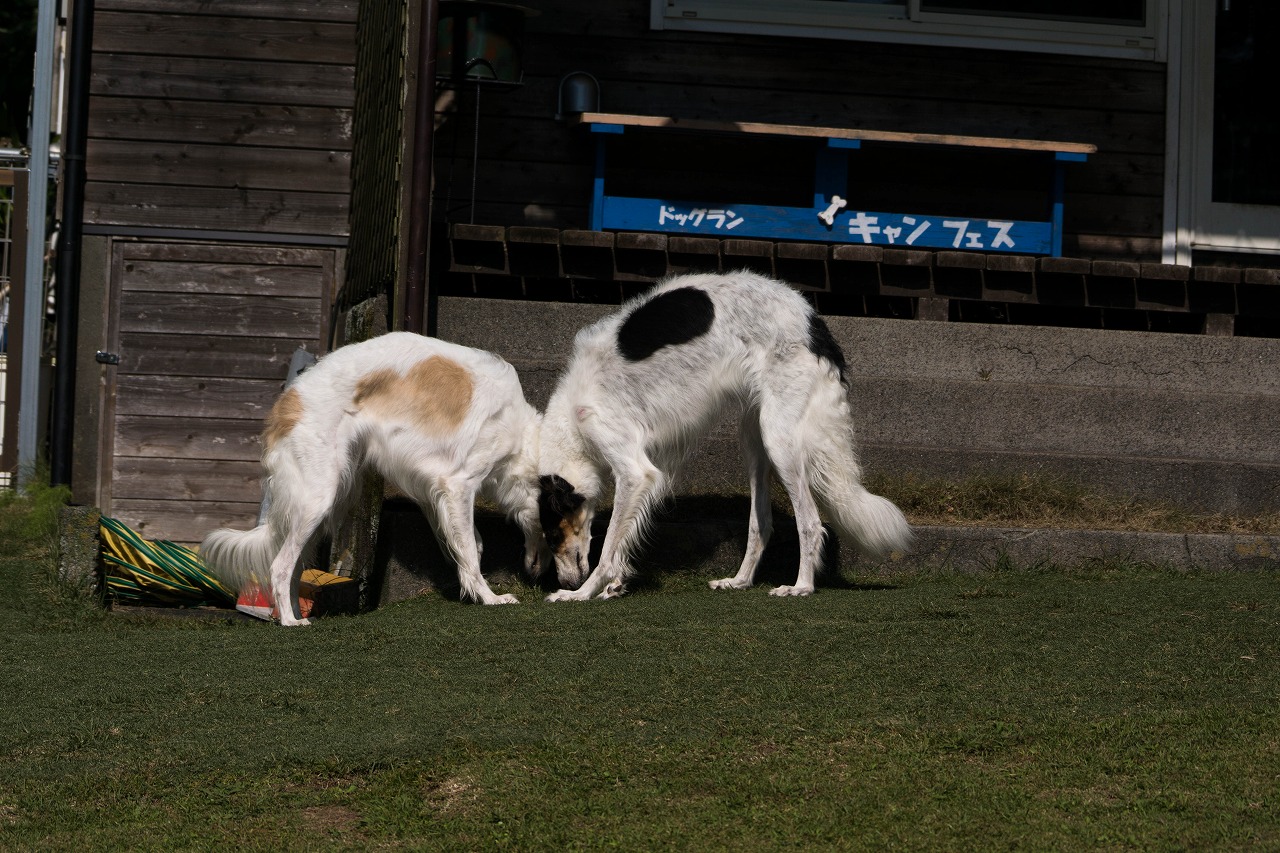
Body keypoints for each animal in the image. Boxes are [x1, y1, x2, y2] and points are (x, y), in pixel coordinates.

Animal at [198, 333, 545, 625]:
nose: (543, 578)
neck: (524, 437)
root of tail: (286, 402)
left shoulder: (434, 493)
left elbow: (472, 544)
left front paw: (470, 588)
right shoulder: (458, 484)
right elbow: (472, 552)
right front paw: (489, 598)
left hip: (324, 503)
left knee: (294, 568)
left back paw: (296, 614)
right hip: (317, 500)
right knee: (280, 567)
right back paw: (289, 622)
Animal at [535, 270, 916, 596]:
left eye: (552, 535)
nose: (566, 582)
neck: (571, 418)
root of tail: (815, 323)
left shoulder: (633, 469)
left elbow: (608, 546)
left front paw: (583, 593)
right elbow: (621, 541)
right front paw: (614, 585)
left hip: (779, 441)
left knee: (809, 521)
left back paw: (801, 586)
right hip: (754, 439)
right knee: (761, 523)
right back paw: (740, 580)